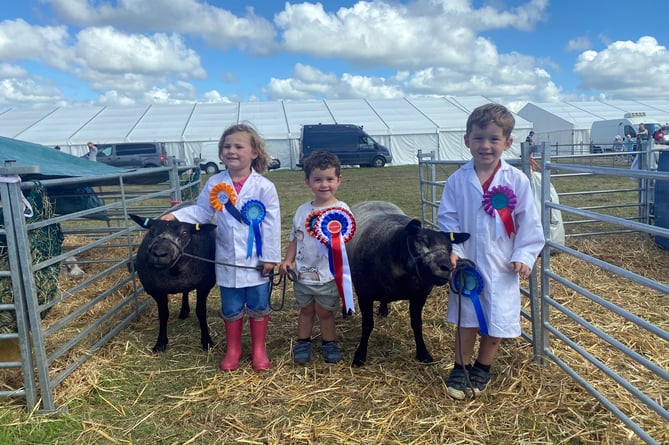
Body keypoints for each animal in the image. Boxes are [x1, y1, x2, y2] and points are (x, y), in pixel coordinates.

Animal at [129, 213, 215, 352]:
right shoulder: (156, 291)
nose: (159, 254)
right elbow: (163, 314)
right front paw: (160, 343)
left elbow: (201, 312)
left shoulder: (204, 286)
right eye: (152, 231)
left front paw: (207, 342)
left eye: (185, 233)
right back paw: (184, 311)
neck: (174, 271)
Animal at [344, 201, 470, 364]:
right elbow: (367, 325)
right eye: (421, 240)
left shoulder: (420, 295)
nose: (446, 268)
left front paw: (423, 353)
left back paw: (383, 310)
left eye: (449, 248)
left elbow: (417, 324)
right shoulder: (364, 294)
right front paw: (359, 356)